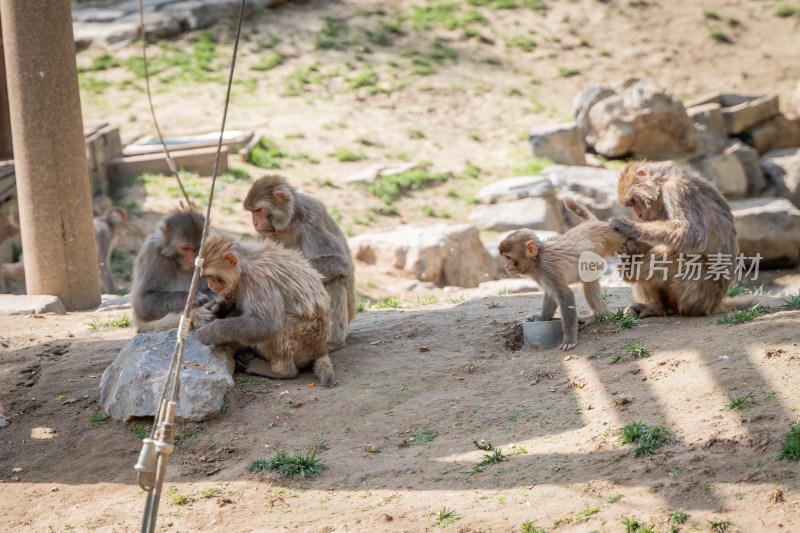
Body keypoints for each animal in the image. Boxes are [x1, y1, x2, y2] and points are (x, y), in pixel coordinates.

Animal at [193, 233, 334, 386]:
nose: (210, 286)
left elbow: (267, 324)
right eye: (207, 277)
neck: (243, 268)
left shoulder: (258, 280)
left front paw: (211, 331)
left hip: (306, 339)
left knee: (281, 326)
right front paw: (209, 311)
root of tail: (321, 348)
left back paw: (282, 371)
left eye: (212, 276)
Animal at [242, 172, 358, 352]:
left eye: (259, 210)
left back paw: (332, 342)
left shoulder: (313, 221)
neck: (289, 222)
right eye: (252, 212)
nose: (254, 223)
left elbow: (342, 261)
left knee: (337, 279)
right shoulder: (264, 234)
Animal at [500, 197, 632, 352]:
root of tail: (592, 224)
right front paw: (541, 318)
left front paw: (569, 339)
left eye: (508, 257)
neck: (538, 259)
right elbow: (551, 294)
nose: (506, 266)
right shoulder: (542, 275)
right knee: (588, 280)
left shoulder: (548, 270)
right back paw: (599, 315)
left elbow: (565, 295)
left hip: (612, 238)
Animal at [608, 160, 748, 314]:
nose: (639, 214)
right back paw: (655, 306)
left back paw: (629, 270)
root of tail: (715, 305)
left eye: (633, 201)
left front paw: (628, 226)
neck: (663, 181)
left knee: (677, 256)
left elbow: (692, 234)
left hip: (700, 292)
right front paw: (633, 245)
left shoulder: (677, 189)